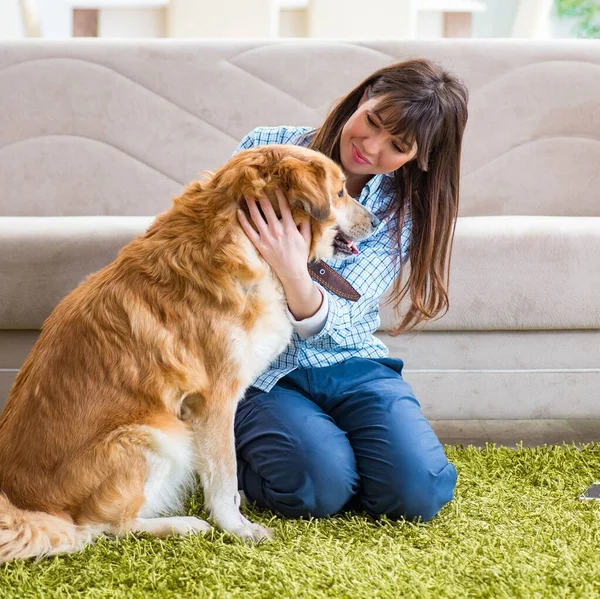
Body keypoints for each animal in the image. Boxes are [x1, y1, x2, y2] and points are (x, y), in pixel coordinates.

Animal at [0, 144, 378, 564]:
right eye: (341, 192)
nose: (377, 222)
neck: (241, 240)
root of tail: (28, 506)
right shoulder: (215, 400)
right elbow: (224, 472)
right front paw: (237, 528)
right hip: (157, 434)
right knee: (104, 527)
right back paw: (183, 525)